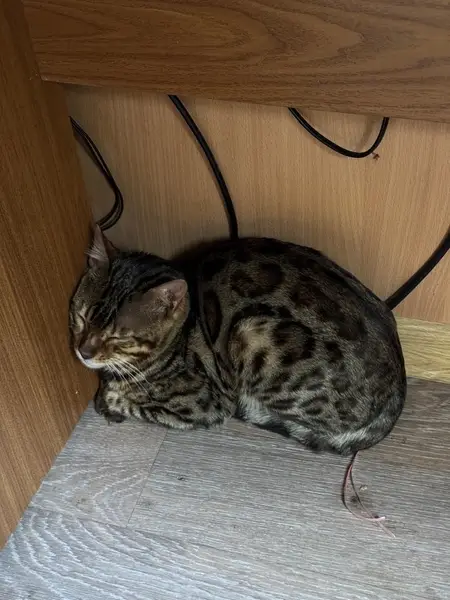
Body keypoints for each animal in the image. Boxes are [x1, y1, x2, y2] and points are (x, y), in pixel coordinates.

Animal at [69, 226, 406, 455]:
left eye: (118, 336)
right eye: (81, 317)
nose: (83, 352)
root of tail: (397, 396)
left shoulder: (206, 403)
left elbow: (135, 401)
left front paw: (113, 397)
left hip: (252, 333)